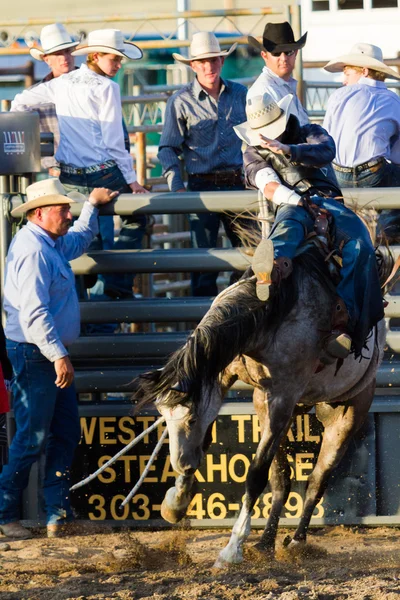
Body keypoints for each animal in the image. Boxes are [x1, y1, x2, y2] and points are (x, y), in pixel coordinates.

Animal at [133, 243, 390, 568]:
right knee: (282, 481)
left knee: (316, 481)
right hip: (271, 408)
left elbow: (255, 475)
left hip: (346, 411)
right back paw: (266, 541)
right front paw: (176, 503)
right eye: (163, 417)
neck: (269, 315)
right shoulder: (223, 373)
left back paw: (296, 542)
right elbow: (208, 444)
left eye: (190, 418)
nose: (180, 463)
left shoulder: (282, 396)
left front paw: (231, 549)